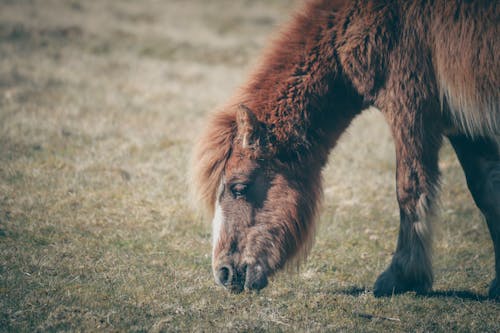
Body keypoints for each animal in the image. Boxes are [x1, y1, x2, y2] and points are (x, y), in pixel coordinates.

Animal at [189, 0, 498, 296]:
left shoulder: (412, 112)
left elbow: (410, 190)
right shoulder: (464, 123)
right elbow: (486, 190)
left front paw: (401, 276)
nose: (223, 273)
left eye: (239, 188)